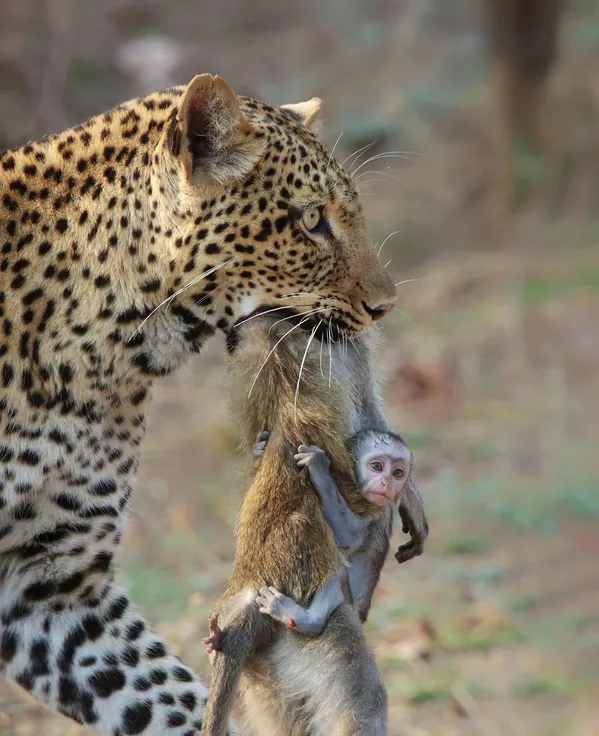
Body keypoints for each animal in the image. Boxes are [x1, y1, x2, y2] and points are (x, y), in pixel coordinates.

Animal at [253, 428, 426, 636]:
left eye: (398, 473)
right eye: (377, 466)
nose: (387, 483)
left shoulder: (376, 510)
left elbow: (347, 539)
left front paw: (319, 469)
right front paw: (259, 447)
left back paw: (306, 620)